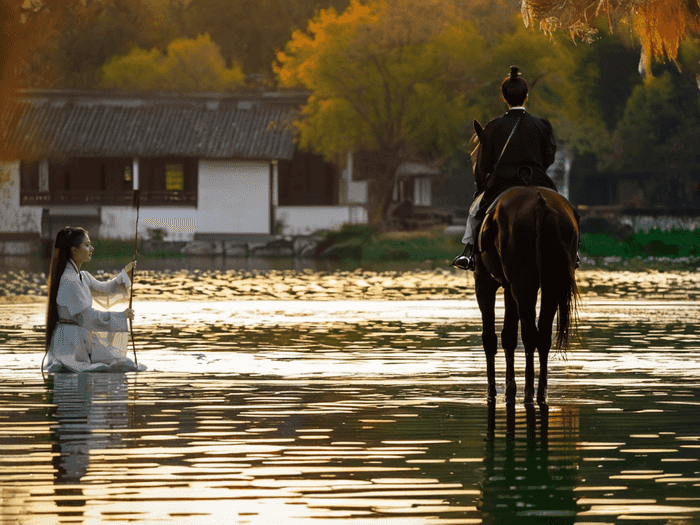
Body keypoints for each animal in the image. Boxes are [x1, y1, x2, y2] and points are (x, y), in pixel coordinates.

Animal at [468, 119, 576, 406]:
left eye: (476, 151)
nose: (478, 181)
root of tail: (541, 203)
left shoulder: (486, 283)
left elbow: (491, 337)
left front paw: (494, 390)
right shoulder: (509, 287)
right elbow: (508, 336)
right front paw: (509, 387)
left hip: (523, 284)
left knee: (529, 334)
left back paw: (528, 392)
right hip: (548, 283)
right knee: (542, 335)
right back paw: (540, 391)